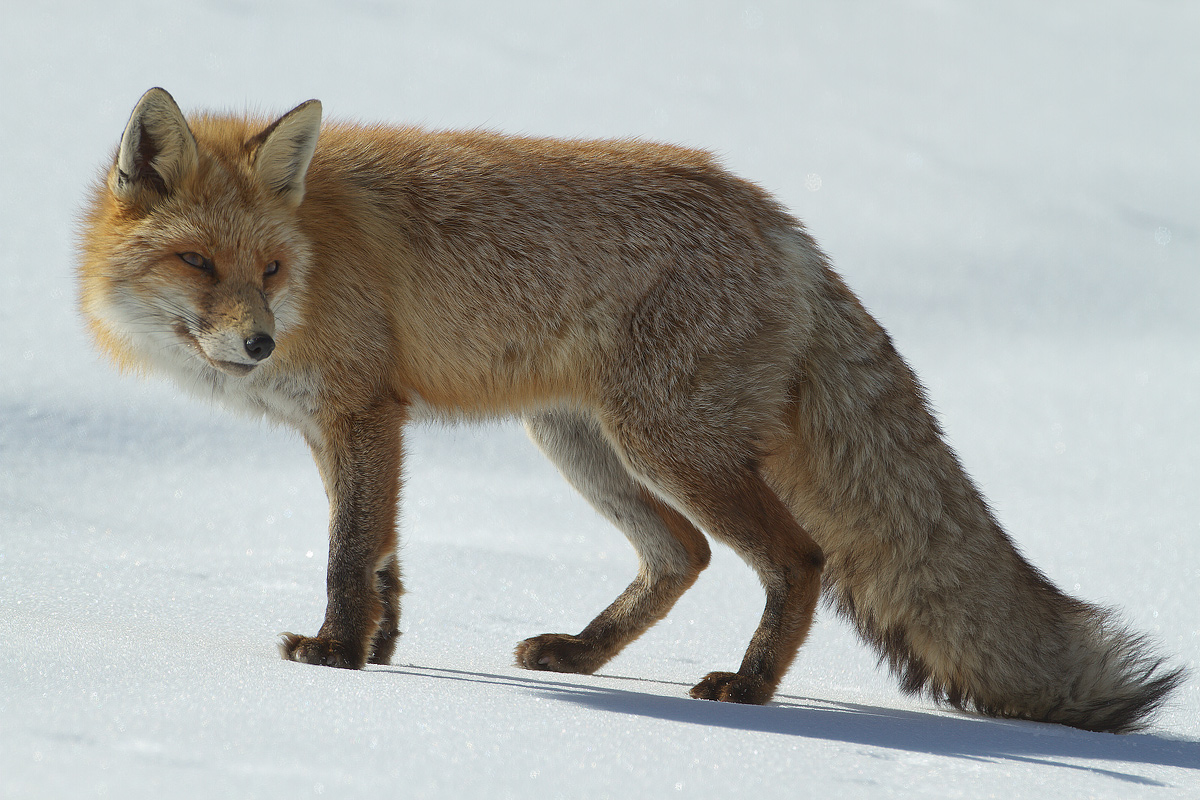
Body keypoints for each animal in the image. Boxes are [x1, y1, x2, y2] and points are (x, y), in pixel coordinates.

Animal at [77, 87, 1181, 733]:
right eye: (199, 263)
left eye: (267, 270)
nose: (259, 342)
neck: (318, 252)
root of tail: (785, 225)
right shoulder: (345, 425)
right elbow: (382, 555)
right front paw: (382, 651)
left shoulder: (362, 412)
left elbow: (350, 555)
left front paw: (340, 660)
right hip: (582, 440)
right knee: (681, 554)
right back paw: (581, 653)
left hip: (666, 443)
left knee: (799, 558)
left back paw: (750, 690)